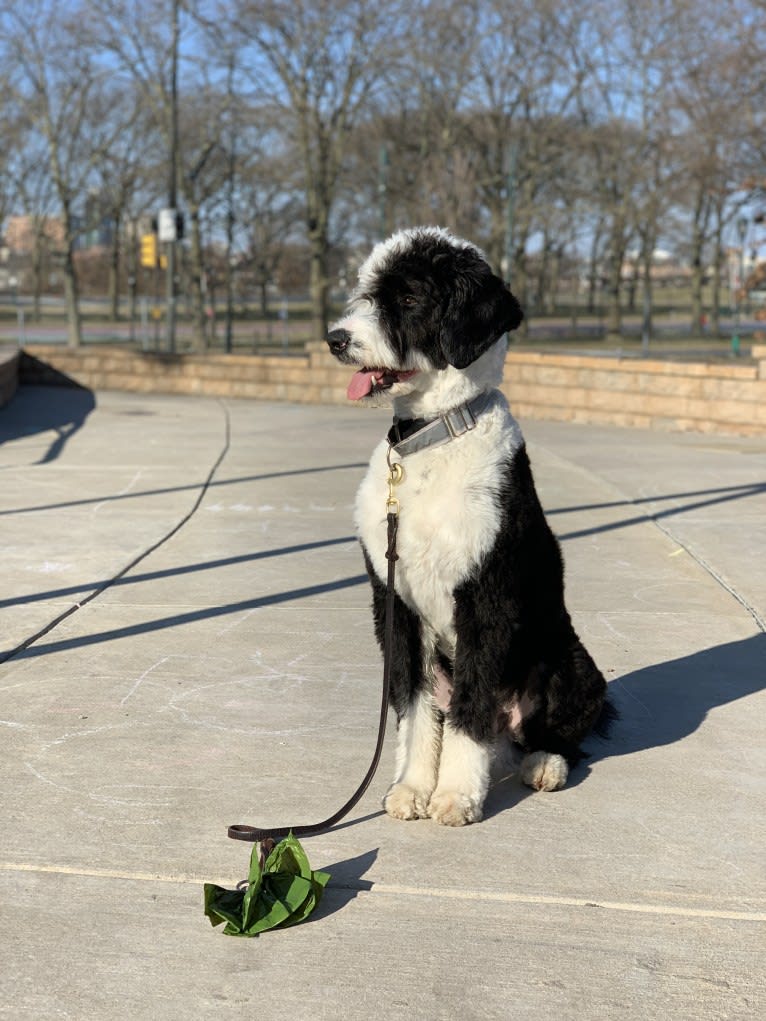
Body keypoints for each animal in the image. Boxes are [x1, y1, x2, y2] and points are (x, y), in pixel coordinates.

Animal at [326, 227, 616, 824]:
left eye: (409, 297)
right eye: (366, 292)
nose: (335, 339)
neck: (433, 436)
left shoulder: (486, 596)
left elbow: (472, 705)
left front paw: (456, 795)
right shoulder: (394, 600)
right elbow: (414, 708)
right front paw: (413, 787)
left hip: (572, 664)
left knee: (554, 734)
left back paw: (545, 764)